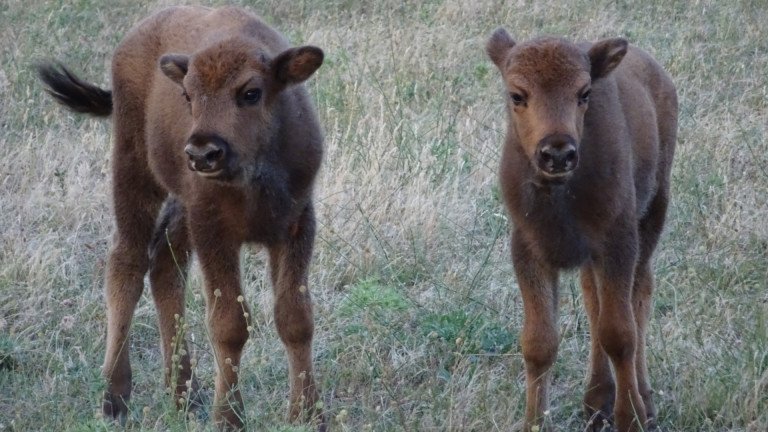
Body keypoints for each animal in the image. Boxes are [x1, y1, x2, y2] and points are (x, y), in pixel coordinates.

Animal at [37, 5, 326, 430]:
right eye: (188, 95)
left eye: (251, 93)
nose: (202, 153)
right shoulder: (213, 232)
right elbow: (229, 324)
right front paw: (229, 418)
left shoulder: (295, 226)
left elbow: (295, 318)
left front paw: (307, 415)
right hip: (134, 170)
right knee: (127, 264)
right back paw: (114, 399)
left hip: (179, 207)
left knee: (164, 267)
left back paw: (184, 395)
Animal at [488, 27, 676, 432]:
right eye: (517, 94)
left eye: (584, 93)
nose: (557, 153)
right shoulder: (530, 251)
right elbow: (539, 342)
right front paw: (534, 422)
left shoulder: (617, 243)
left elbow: (620, 333)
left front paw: (631, 417)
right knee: (593, 299)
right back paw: (596, 401)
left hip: (654, 212)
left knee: (640, 294)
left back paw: (643, 400)